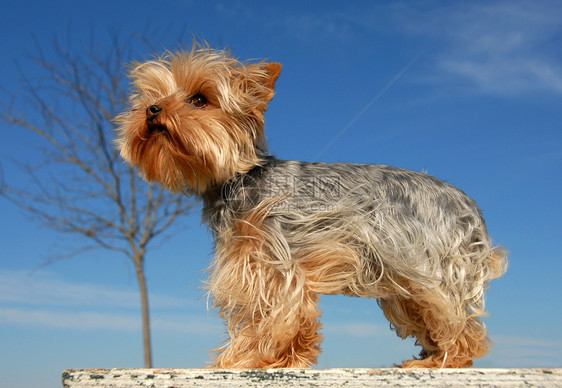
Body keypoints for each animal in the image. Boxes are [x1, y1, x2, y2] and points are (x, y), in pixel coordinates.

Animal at [116, 44, 506, 366]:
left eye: (199, 100)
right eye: (152, 95)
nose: (151, 110)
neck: (237, 177)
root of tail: (470, 206)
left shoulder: (276, 263)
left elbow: (277, 317)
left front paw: (254, 359)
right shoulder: (250, 261)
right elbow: (263, 315)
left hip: (429, 264)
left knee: (456, 319)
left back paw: (444, 360)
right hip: (403, 278)